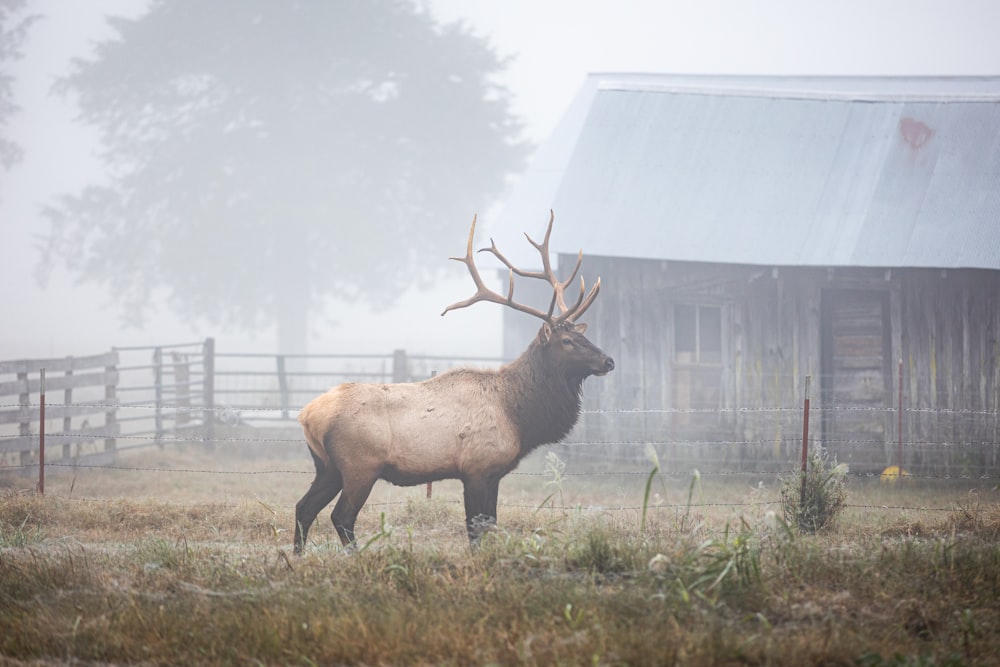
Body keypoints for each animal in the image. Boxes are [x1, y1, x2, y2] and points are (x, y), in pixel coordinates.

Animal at [292, 210, 612, 552]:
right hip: (359, 465)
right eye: (567, 341)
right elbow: (476, 529)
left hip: (326, 467)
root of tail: (308, 414)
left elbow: (490, 524)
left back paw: (298, 557)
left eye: (583, 335)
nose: (609, 361)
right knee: (341, 516)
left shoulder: (493, 474)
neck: (518, 416)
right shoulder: (476, 469)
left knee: (303, 508)